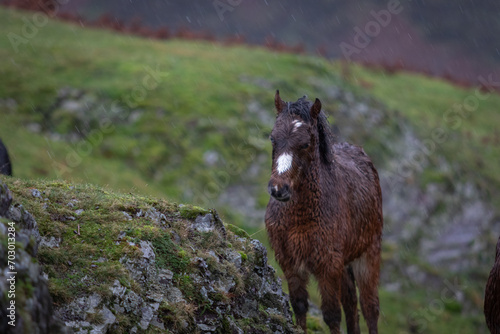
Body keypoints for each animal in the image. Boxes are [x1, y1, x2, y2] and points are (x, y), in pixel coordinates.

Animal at [266, 91, 382, 334]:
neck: (298, 217)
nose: (278, 189)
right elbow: (299, 304)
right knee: (351, 303)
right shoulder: (289, 261)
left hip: (368, 255)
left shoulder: (327, 265)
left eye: (305, 143)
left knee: (370, 308)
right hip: (345, 263)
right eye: (272, 138)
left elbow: (331, 315)